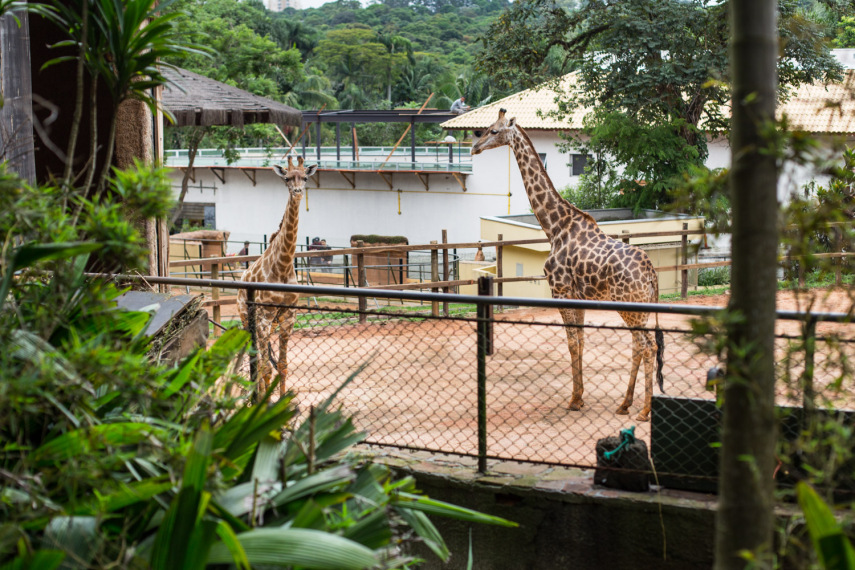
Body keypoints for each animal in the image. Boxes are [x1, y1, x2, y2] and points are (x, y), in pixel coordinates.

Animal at [237, 154, 318, 394]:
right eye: (287, 178)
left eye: (305, 178)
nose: (298, 192)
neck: (282, 266)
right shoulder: (264, 316)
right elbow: (265, 367)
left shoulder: (287, 316)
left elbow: (282, 365)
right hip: (247, 319)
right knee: (257, 361)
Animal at [472, 108, 664, 420]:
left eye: (493, 131)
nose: (474, 147)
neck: (554, 227)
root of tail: (651, 274)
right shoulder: (579, 296)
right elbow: (581, 341)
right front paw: (581, 396)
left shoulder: (559, 290)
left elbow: (572, 342)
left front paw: (574, 399)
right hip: (640, 307)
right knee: (641, 345)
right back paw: (625, 403)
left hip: (629, 305)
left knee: (647, 346)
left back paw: (644, 410)